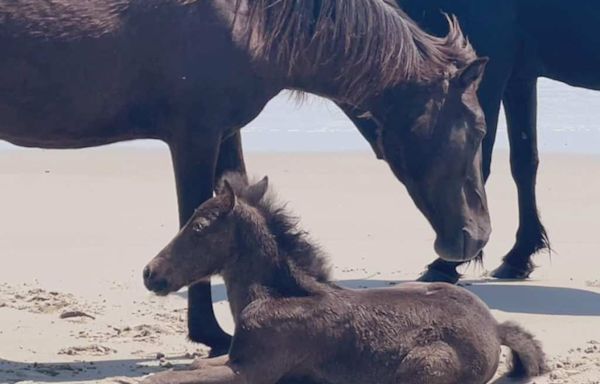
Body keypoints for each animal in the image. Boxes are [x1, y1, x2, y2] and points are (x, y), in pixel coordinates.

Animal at [2, 0, 492, 354]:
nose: (477, 236)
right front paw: (211, 334)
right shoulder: (195, 136)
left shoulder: (225, 131)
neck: (247, 21)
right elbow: (193, 210)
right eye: (480, 129)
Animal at [142, 173, 548, 384]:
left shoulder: (252, 371)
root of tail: (495, 327)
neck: (276, 295)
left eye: (198, 228)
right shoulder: (234, 359)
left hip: (421, 368)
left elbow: (162, 379)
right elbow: (190, 366)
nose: (151, 273)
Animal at [350, 0, 596, 282]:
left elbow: (482, 161)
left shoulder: (491, 61)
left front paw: (447, 263)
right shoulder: (520, 75)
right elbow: (524, 163)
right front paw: (519, 256)